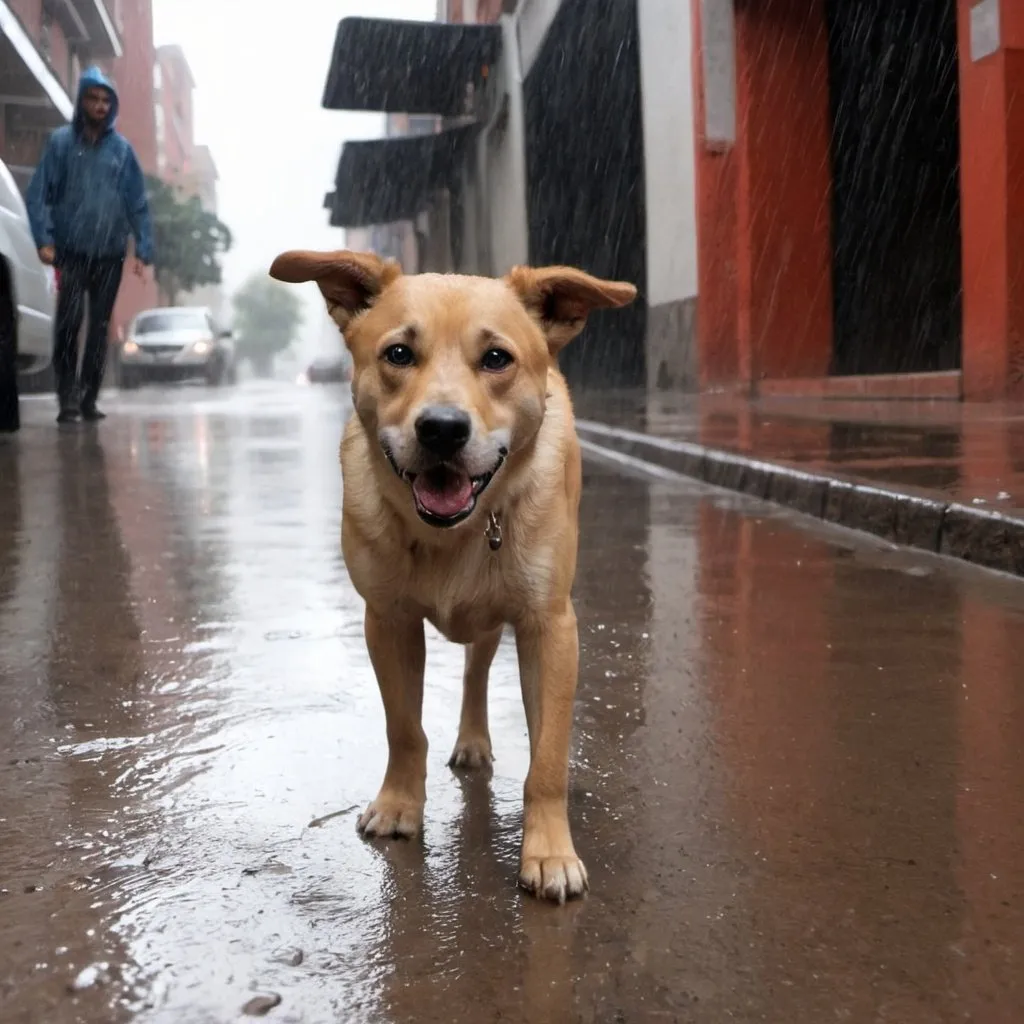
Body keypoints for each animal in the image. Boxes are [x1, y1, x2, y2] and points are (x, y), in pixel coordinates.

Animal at [268, 249, 634, 905]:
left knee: (477, 673)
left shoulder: (550, 627)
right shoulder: (387, 622)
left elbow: (548, 759)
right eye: (397, 353)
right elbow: (403, 728)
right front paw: (399, 805)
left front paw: (549, 851)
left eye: (496, 359)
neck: (454, 533)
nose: (441, 428)